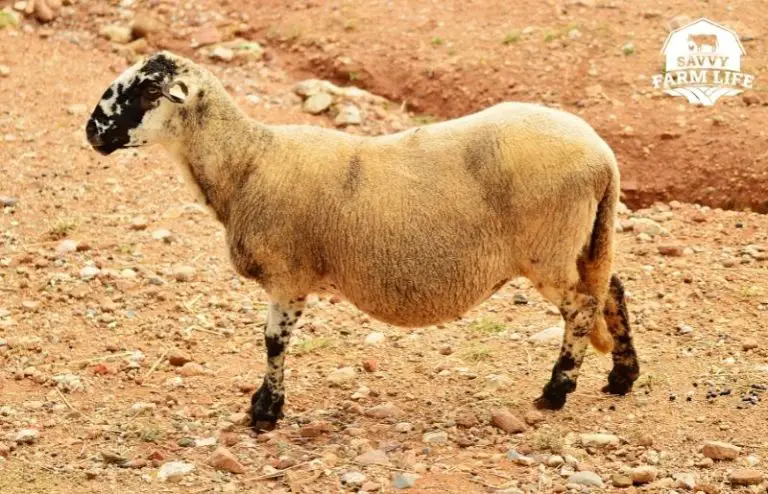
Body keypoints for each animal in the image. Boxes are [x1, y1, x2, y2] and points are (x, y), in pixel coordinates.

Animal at [85, 51, 640, 430]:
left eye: (145, 93)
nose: (91, 132)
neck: (247, 163)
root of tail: (603, 154)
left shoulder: (288, 275)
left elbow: (272, 342)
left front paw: (266, 410)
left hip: (548, 247)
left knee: (582, 308)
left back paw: (556, 391)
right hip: (584, 242)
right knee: (611, 290)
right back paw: (622, 377)